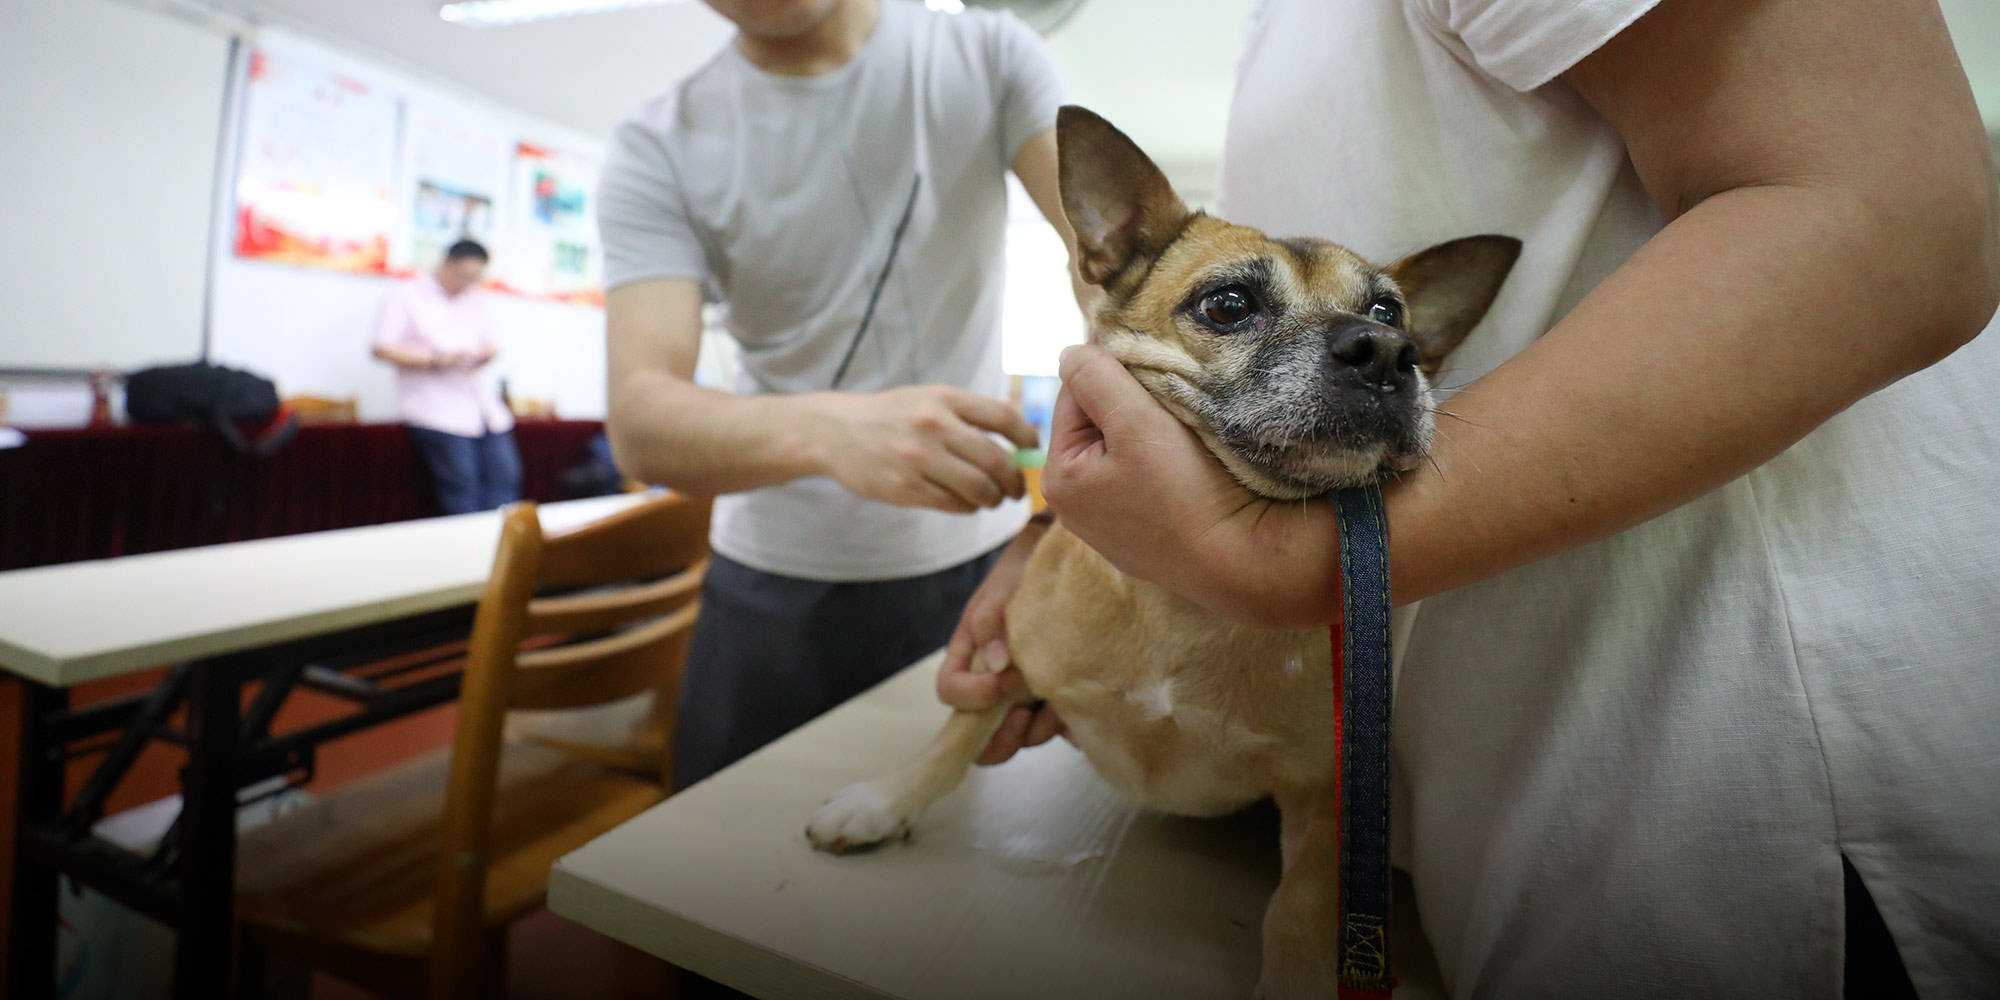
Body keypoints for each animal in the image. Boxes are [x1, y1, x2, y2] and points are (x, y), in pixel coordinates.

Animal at [804, 109, 1504, 1000]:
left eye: (1392, 312)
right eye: (1229, 304)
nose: (1386, 351)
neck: (1186, 603)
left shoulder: (1325, 804)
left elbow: (1297, 911)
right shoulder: (1010, 660)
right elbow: (956, 735)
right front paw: (885, 801)